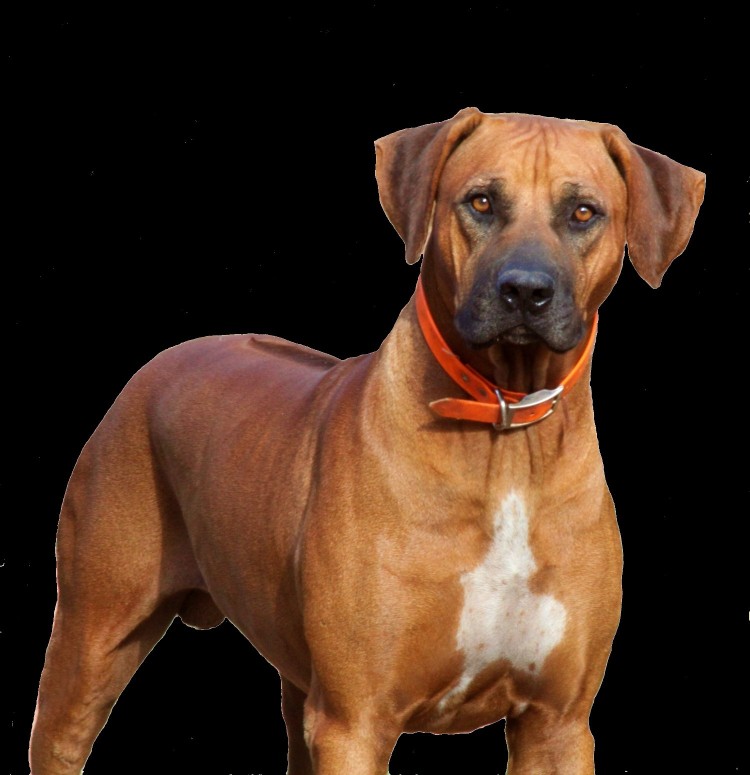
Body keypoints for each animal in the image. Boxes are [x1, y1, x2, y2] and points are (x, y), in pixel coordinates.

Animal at [29, 108, 705, 774]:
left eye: (583, 212)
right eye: (482, 201)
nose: (525, 290)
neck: (504, 429)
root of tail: (155, 364)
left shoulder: (557, 724)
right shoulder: (355, 722)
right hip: (92, 640)